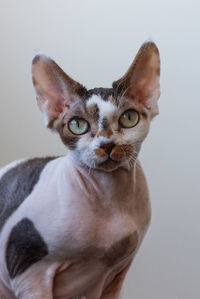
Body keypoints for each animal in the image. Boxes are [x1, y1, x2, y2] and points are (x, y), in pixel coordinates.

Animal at [0, 41, 160, 298]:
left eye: (129, 118)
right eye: (77, 125)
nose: (107, 144)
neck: (109, 198)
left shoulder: (117, 275)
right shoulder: (28, 274)